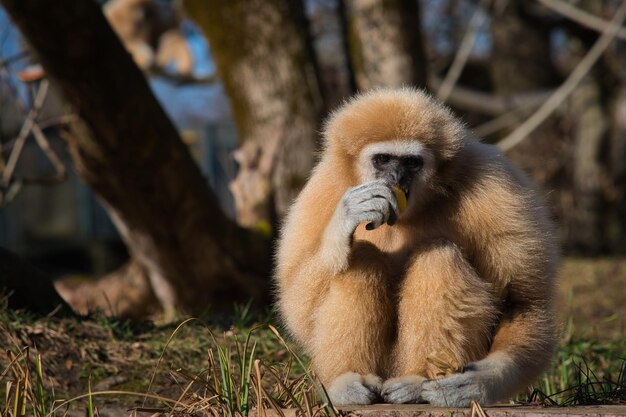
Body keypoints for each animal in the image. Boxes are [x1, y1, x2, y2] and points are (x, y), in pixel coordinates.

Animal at [272, 87, 556, 406]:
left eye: (411, 162)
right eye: (383, 159)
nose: (396, 177)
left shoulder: (495, 185)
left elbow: (522, 304)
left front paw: (479, 383)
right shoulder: (326, 185)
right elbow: (296, 305)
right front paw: (348, 217)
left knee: (438, 255)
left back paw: (417, 381)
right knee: (360, 257)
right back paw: (348, 379)